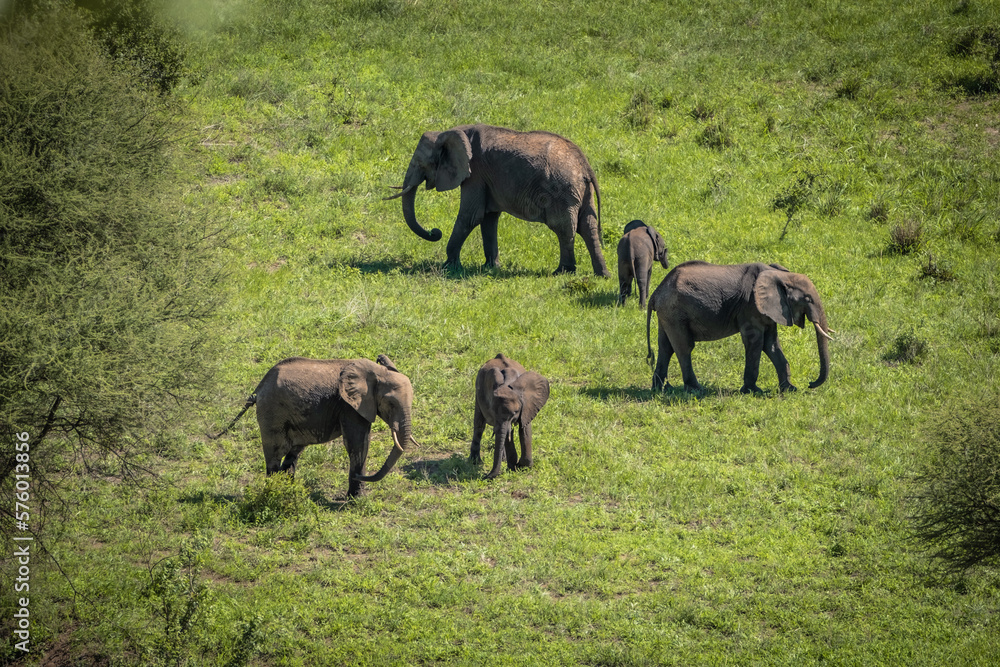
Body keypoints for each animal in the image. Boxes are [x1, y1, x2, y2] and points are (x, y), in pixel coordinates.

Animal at [210, 355, 418, 497]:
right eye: (390, 404)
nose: (359, 477)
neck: (378, 372)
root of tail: (258, 388)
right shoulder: (349, 407)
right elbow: (358, 444)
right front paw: (355, 500)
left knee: (292, 454)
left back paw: (288, 492)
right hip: (272, 413)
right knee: (275, 455)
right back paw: (273, 493)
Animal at [385, 123, 610, 277]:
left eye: (421, 164)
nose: (434, 232)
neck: (452, 131)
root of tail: (585, 166)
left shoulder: (475, 173)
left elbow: (471, 216)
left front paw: (448, 266)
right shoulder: (486, 179)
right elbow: (488, 219)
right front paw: (490, 267)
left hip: (561, 191)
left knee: (564, 228)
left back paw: (562, 272)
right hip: (582, 192)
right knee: (587, 227)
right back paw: (602, 275)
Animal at [646, 261, 833, 393]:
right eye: (808, 299)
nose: (810, 384)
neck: (780, 275)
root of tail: (656, 293)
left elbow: (771, 344)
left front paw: (790, 389)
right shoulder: (750, 306)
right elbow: (755, 342)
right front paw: (753, 391)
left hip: (668, 314)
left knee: (666, 347)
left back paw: (659, 390)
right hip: (674, 311)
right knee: (684, 347)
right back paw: (696, 390)